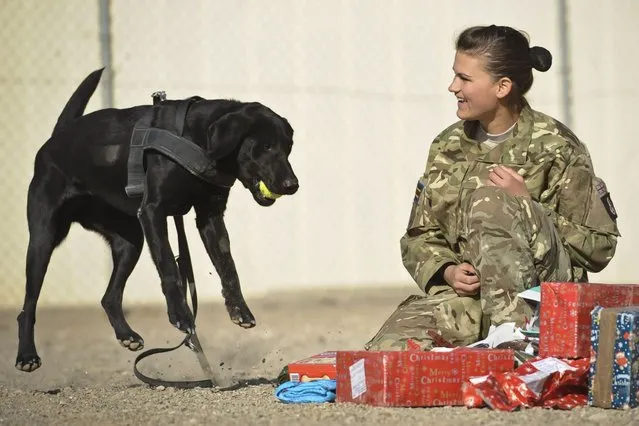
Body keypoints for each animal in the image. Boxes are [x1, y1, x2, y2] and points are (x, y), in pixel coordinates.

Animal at [15, 68, 300, 372]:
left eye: (288, 148)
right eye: (265, 146)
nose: (292, 185)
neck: (198, 139)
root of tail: (56, 138)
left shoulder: (210, 217)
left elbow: (228, 266)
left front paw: (240, 310)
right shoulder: (153, 212)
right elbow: (169, 268)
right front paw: (181, 315)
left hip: (131, 242)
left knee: (109, 297)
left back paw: (126, 335)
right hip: (43, 240)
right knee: (28, 306)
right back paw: (27, 356)